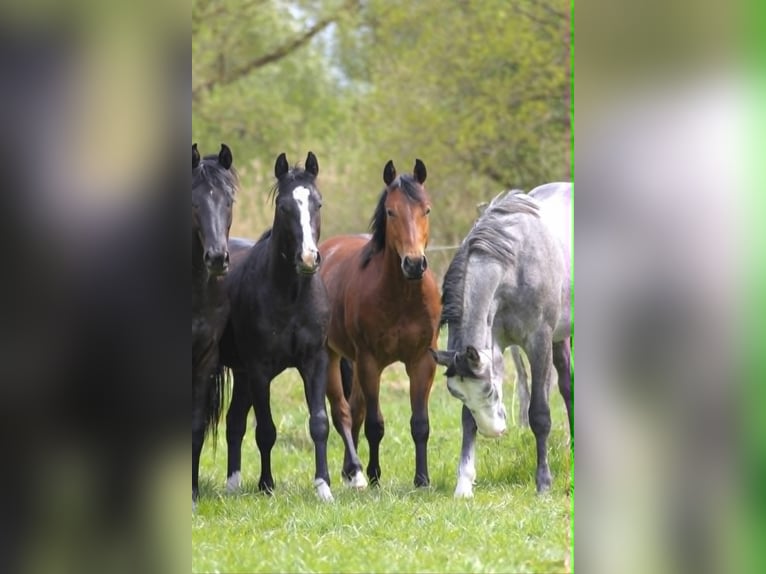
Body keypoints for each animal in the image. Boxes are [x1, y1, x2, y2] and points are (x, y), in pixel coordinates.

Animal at [219, 151, 335, 501]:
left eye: (318, 203)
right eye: (284, 207)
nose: (308, 259)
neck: (291, 295)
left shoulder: (315, 362)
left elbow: (319, 423)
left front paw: (324, 487)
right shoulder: (259, 369)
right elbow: (266, 430)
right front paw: (266, 485)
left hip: (241, 373)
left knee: (234, 422)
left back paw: (232, 484)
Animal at [319, 159, 441, 488]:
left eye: (426, 209)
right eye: (390, 212)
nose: (414, 263)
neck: (401, 296)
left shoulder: (422, 361)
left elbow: (420, 423)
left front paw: (422, 479)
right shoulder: (370, 361)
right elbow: (375, 423)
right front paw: (374, 475)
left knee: (355, 408)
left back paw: (352, 471)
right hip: (332, 357)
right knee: (343, 413)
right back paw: (356, 472)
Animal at [432, 181, 572, 498]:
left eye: (487, 391)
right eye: (459, 395)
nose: (493, 431)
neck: (515, 264)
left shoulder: (538, 342)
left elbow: (539, 414)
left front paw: (543, 483)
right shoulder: (492, 345)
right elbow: (466, 420)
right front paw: (464, 483)